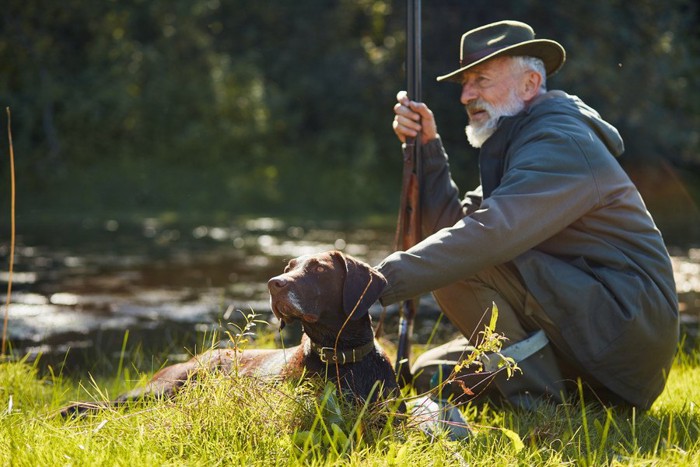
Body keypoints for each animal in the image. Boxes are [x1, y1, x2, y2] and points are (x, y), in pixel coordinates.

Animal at [61, 252, 400, 416]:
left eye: (318, 268)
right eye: (288, 267)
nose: (273, 283)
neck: (339, 357)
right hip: (164, 387)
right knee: (114, 404)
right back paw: (69, 411)